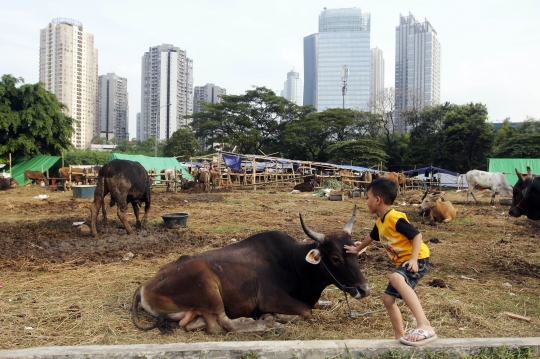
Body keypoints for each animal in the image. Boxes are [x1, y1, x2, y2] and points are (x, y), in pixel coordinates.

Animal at [130, 205, 372, 334]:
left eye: (355, 254)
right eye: (335, 258)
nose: (364, 289)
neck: (292, 262)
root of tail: (143, 287)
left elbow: (316, 305)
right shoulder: (270, 298)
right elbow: (306, 310)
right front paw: (274, 316)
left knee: (198, 324)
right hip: (207, 286)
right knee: (223, 325)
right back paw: (264, 323)